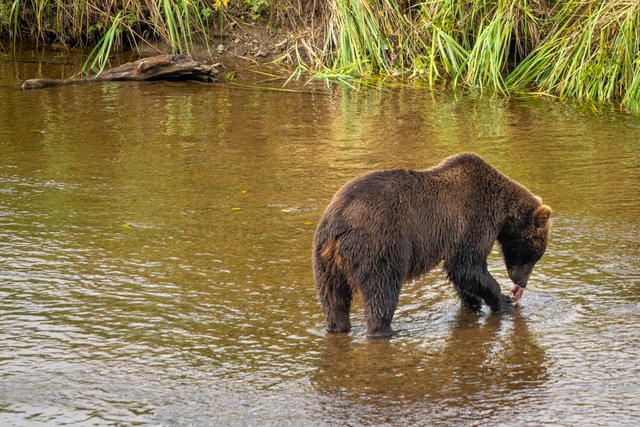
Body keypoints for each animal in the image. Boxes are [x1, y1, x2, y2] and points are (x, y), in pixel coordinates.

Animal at [312, 154, 552, 338]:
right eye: (534, 253)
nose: (521, 282)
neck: (503, 212)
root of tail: (338, 223)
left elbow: (462, 276)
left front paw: (473, 303)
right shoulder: (474, 221)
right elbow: (467, 266)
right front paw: (503, 301)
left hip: (325, 260)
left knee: (333, 298)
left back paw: (337, 327)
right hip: (380, 244)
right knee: (382, 290)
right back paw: (386, 330)